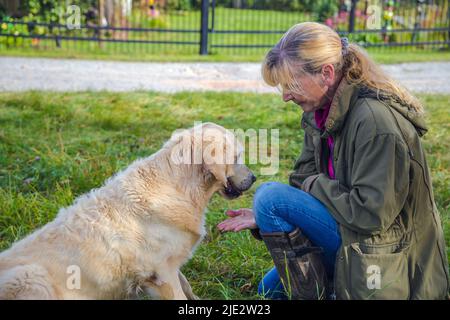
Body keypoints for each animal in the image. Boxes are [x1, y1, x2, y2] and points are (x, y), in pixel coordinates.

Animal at [0, 123, 255, 300]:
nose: (254, 178)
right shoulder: (162, 271)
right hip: (32, 276)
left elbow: (188, 288)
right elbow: (179, 293)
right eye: (237, 157)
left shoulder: (171, 265)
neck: (181, 188)